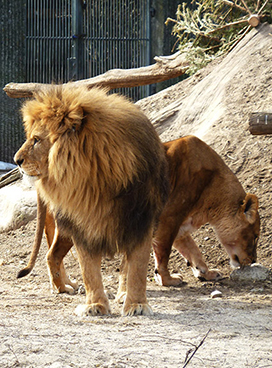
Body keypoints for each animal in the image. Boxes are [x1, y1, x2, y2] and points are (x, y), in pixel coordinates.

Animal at [14, 84, 169, 316]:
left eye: (36, 139)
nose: (16, 161)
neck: (93, 181)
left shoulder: (140, 223)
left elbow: (137, 269)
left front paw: (136, 305)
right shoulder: (82, 226)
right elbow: (89, 271)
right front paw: (95, 305)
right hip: (64, 227)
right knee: (51, 255)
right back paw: (62, 288)